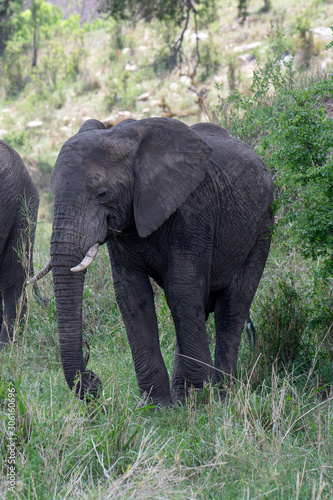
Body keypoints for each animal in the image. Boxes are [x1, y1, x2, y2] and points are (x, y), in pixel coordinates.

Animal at [37, 117, 274, 406]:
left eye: (102, 193)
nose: (94, 382)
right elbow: (131, 295)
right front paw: (157, 406)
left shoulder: (192, 213)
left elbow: (182, 290)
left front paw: (200, 399)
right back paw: (185, 395)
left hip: (262, 228)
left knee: (232, 306)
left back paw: (221, 395)